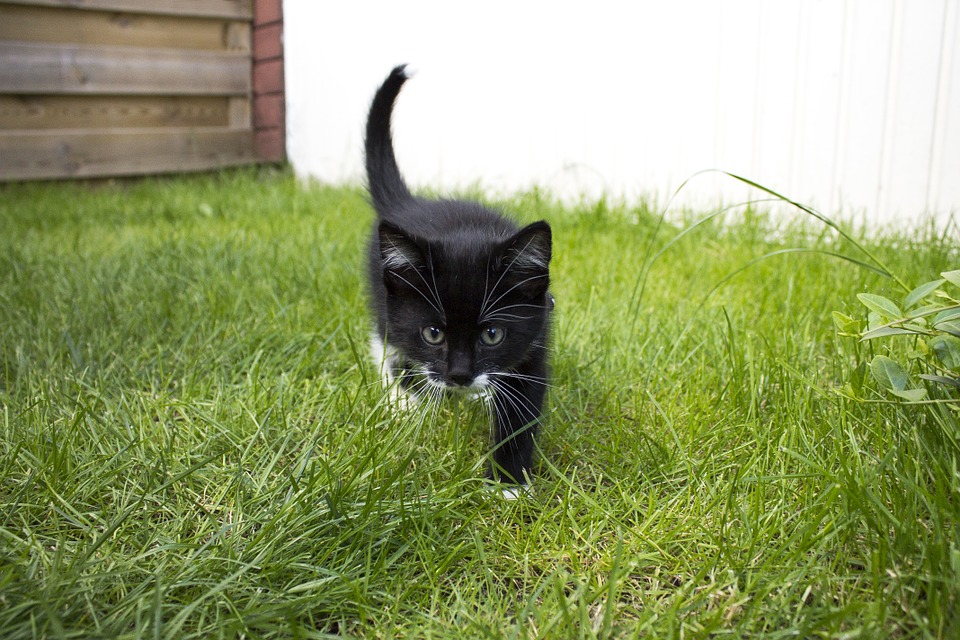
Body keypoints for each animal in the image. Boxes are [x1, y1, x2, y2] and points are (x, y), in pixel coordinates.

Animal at [362, 65, 556, 488]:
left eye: (492, 334)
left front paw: (507, 483)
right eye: (433, 333)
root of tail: (410, 206)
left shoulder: (535, 333)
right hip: (384, 295)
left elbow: (523, 406)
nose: (460, 376)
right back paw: (402, 398)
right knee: (383, 340)